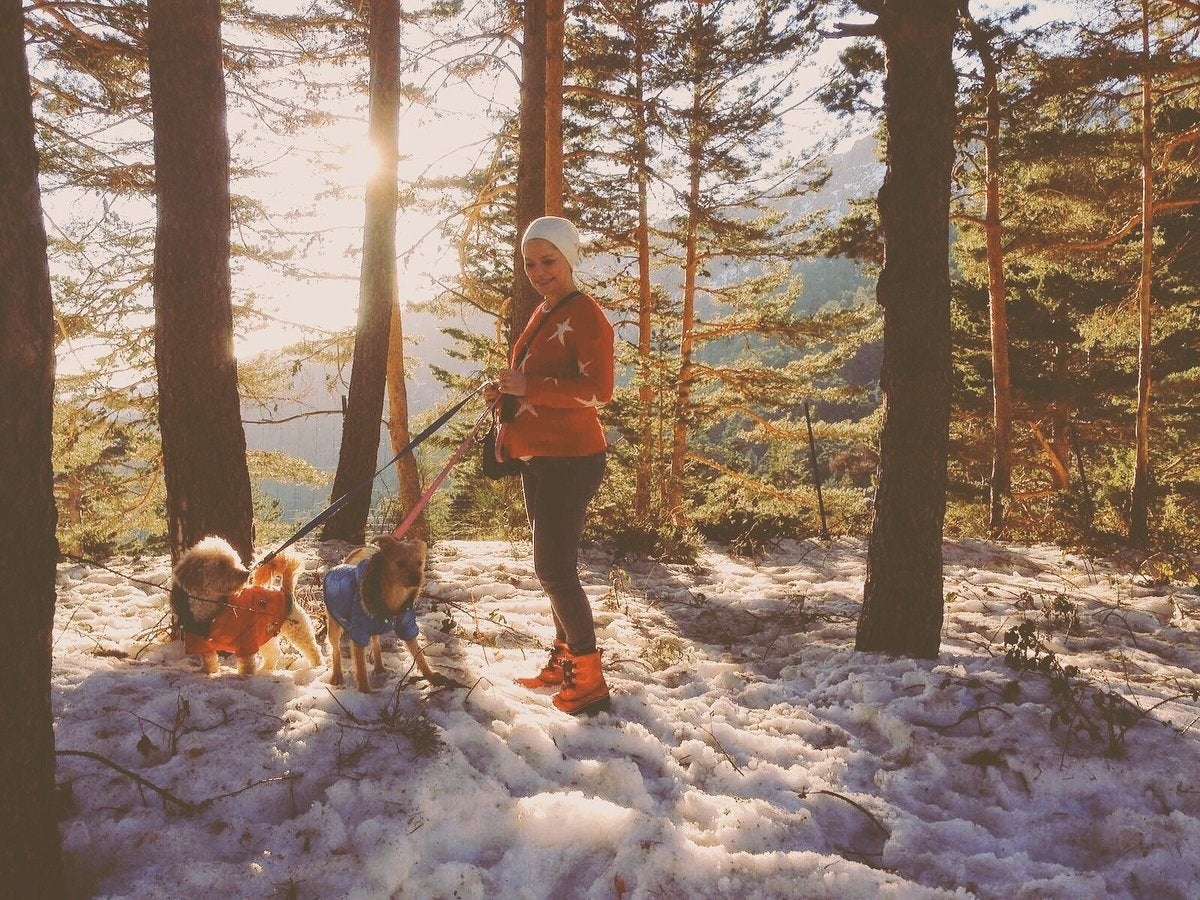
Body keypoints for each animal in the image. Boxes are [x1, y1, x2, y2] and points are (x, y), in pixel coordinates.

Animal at [171, 535, 324, 676]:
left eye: (235, 560)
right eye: (221, 565)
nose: (245, 574)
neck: (216, 607)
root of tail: (285, 590)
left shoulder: (246, 640)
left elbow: (247, 664)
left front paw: (246, 676)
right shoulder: (203, 644)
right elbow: (209, 661)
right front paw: (209, 672)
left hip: (298, 629)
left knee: (313, 649)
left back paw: (318, 667)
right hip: (265, 634)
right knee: (273, 653)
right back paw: (265, 670)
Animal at [324, 540, 441, 696]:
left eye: (420, 562)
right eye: (400, 563)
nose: (417, 579)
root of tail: (340, 566)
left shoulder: (407, 627)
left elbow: (419, 654)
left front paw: (430, 676)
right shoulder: (358, 634)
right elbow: (360, 667)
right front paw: (365, 692)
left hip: (374, 627)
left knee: (376, 643)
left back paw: (379, 667)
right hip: (334, 625)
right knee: (335, 650)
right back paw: (337, 675)